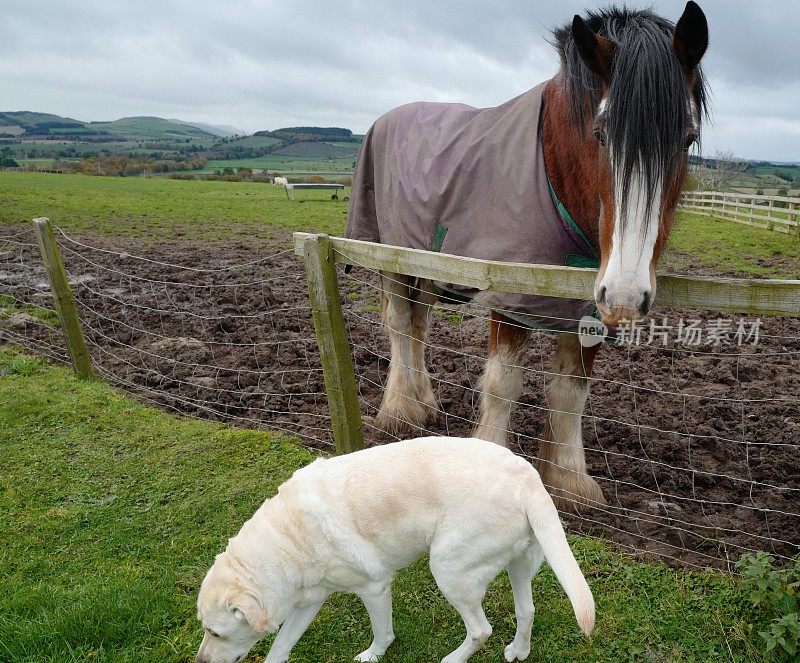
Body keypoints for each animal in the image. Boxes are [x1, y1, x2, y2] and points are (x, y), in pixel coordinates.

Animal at [194, 438, 592, 660]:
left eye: (216, 633)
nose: (200, 662)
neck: (286, 541)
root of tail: (529, 480)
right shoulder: (309, 601)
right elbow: (279, 649)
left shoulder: (374, 588)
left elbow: (382, 632)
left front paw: (373, 655)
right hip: (518, 563)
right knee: (527, 610)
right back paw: (518, 652)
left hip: (448, 569)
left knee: (480, 630)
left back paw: (453, 659)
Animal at [346, 2, 708, 510]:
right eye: (600, 133)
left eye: (688, 138)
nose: (624, 297)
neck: (553, 165)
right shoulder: (511, 294)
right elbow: (503, 385)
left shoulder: (583, 306)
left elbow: (571, 392)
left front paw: (570, 481)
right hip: (391, 257)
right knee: (399, 323)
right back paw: (400, 410)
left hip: (431, 265)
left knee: (418, 325)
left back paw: (426, 404)